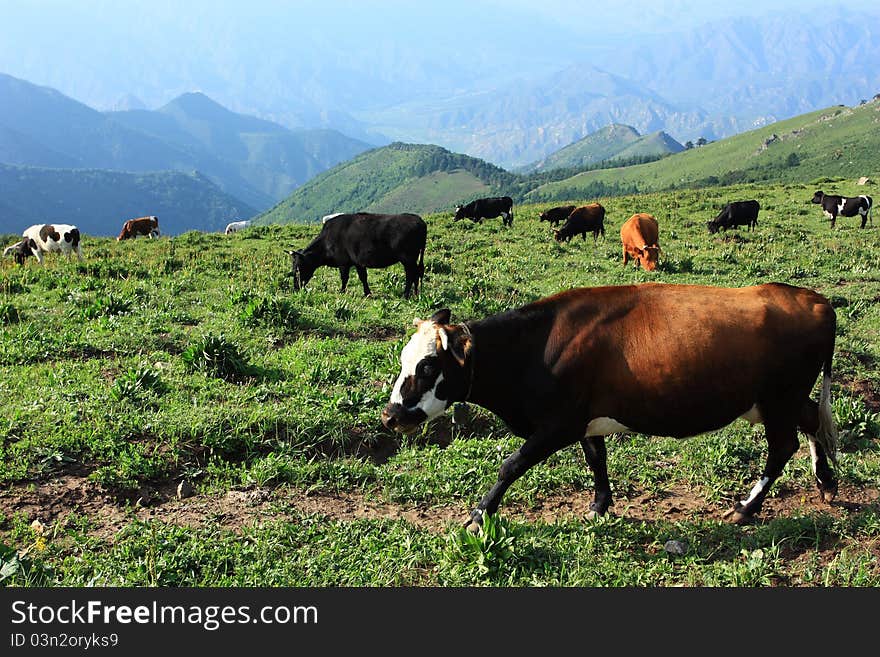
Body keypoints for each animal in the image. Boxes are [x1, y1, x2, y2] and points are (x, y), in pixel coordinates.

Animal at [286, 211, 426, 298]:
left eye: (298, 268)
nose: (296, 287)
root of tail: (419, 220)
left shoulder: (343, 262)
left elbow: (344, 278)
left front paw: (342, 291)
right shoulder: (358, 262)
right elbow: (363, 277)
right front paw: (367, 293)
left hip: (408, 258)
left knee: (411, 275)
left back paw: (406, 295)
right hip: (414, 258)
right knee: (417, 273)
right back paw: (416, 294)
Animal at [382, 284, 844, 532]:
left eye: (427, 366)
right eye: (403, 360)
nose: (390, 416)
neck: (534, 349)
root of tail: (813, 299)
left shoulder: (558, 425)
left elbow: (510, 466)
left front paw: (479, 515)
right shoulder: (587, 420)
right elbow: (596, 458)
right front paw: (600, 505)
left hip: (778, 399)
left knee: (782, 447)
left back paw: (747, 507)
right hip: (781, 400)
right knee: (811, 422)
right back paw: (826, 481)